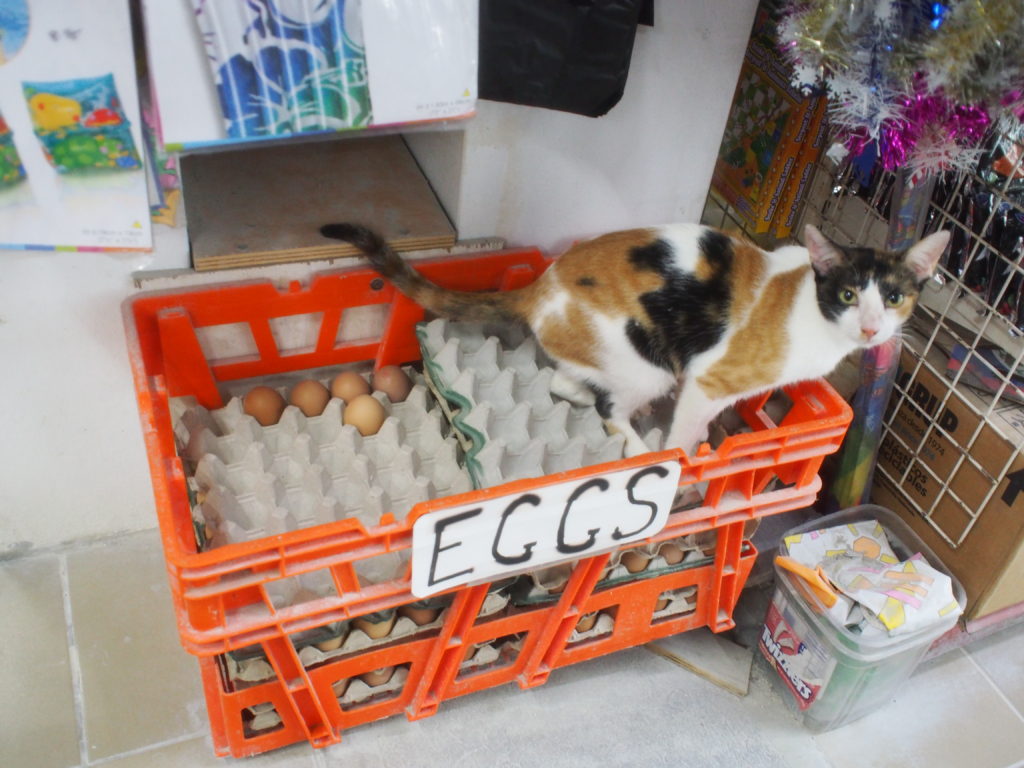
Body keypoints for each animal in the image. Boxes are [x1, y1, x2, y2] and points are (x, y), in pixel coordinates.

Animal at [321, 222, 949, 457]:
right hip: (649, 362)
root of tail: (539, 287)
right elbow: (687, 437)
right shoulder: (708, 379)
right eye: (847, 294)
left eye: (894, 297)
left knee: (564, 382)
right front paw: (688, 461)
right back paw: (637, 442)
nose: (871, 327)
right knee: (602, 407)